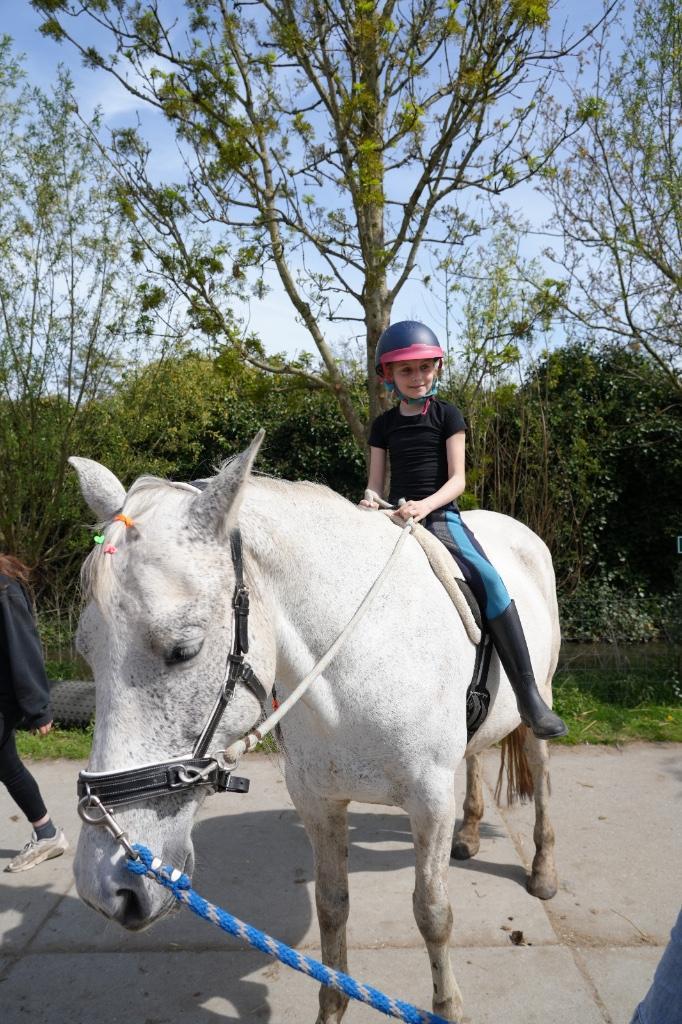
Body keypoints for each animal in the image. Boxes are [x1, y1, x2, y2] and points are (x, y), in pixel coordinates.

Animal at [70, 432, 559, 1023]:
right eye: (86, 651)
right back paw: (469, 835)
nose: (105, 887)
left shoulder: (430, 802)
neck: (357, 661)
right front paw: (333, 1007)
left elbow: (432, 913)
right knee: (475, 754)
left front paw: (447, 1009)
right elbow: (332, 906)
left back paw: (543, 871)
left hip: (538, 704)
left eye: (183, 650)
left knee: (540, 777)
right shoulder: (318, 801)